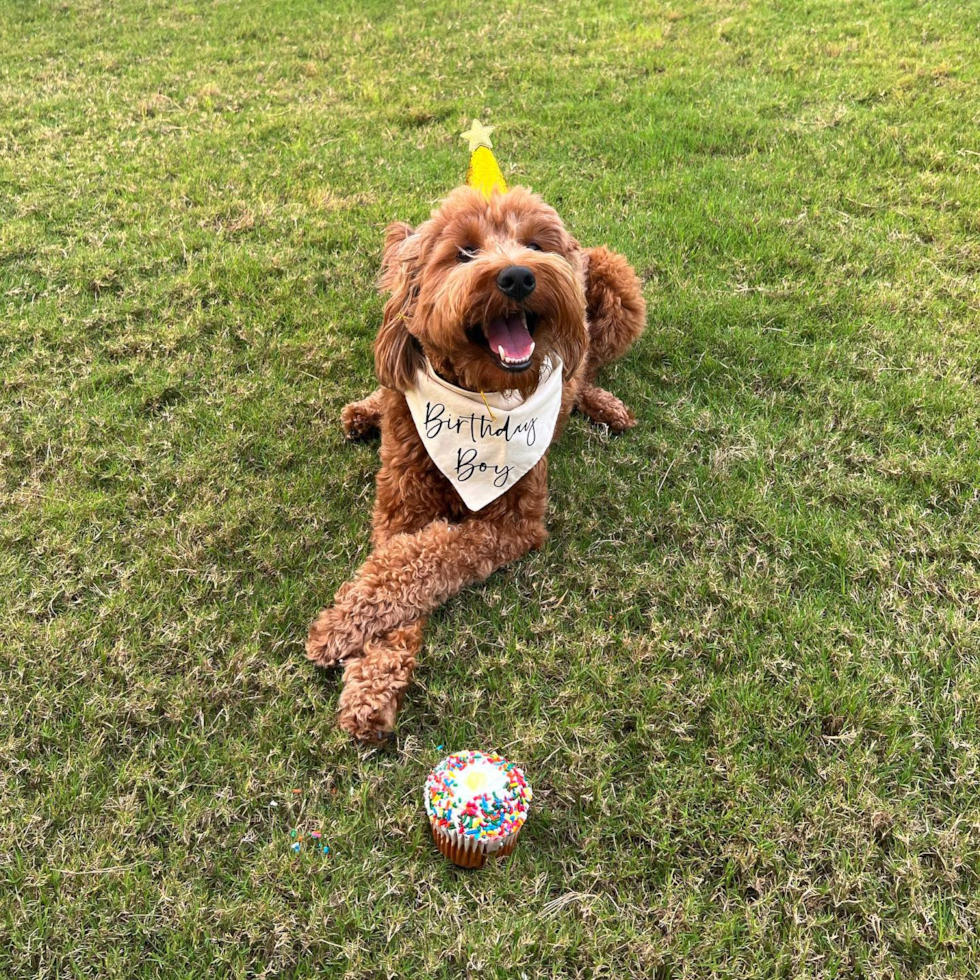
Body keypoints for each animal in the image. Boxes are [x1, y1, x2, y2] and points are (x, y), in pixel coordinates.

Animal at [304, 184, 644, 740]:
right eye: (463, 252)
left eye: (534, 244)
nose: (518, 275)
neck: (478, 394)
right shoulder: (400, 507)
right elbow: (395, 566)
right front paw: (365, 670)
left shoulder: (514, 523)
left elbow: (431, 557)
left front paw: (342, 629)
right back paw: (365, 410)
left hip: (617, 287)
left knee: (587, 362)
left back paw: (601, 405)